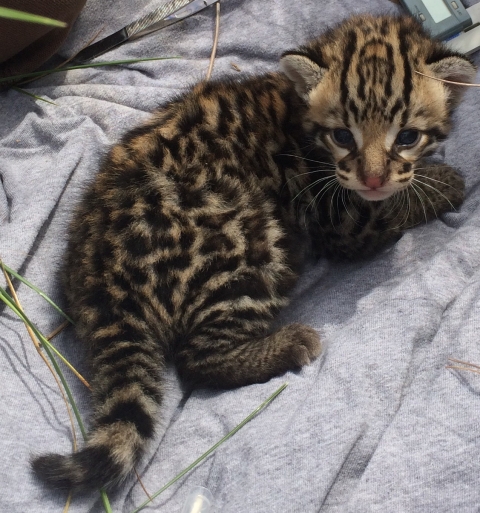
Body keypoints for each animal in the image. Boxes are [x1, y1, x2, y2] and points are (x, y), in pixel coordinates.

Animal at [32, 14, 476, 490]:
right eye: (342, 135)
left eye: (407, 136)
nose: (373, 179)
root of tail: (100, 275)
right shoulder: (342, 223)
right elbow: (391, 209)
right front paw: (444, 183)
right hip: (247, 240)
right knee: (197, 357)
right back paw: (288, 344)